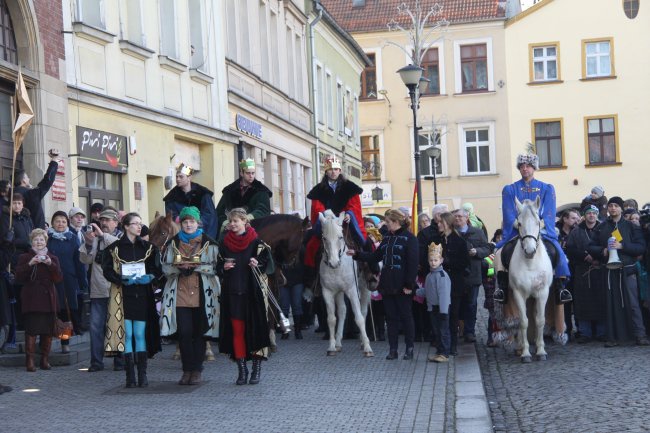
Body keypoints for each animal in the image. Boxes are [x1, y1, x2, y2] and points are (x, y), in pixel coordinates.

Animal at [316, 211, 372, 356]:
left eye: (340, 237)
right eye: (324, 238)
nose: (334, 263)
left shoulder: (352, 290)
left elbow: (359, 318)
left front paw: (367, 347)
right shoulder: (328, 292)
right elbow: (331, 319)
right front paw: (331, 346)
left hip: (364, 288)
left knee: (363, 311)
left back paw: (362, 341)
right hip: (339, 292)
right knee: (342, 311)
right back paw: (338, 342)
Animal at [506, 196, 552, 362]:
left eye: (538, 222)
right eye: (519, 223)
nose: (530, 251)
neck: (530, 263)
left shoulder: (543, 292)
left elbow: (540, 320)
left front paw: (541, 351)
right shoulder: (518, 293)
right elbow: (523, 321)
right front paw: (525, 353)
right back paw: (520, 346)